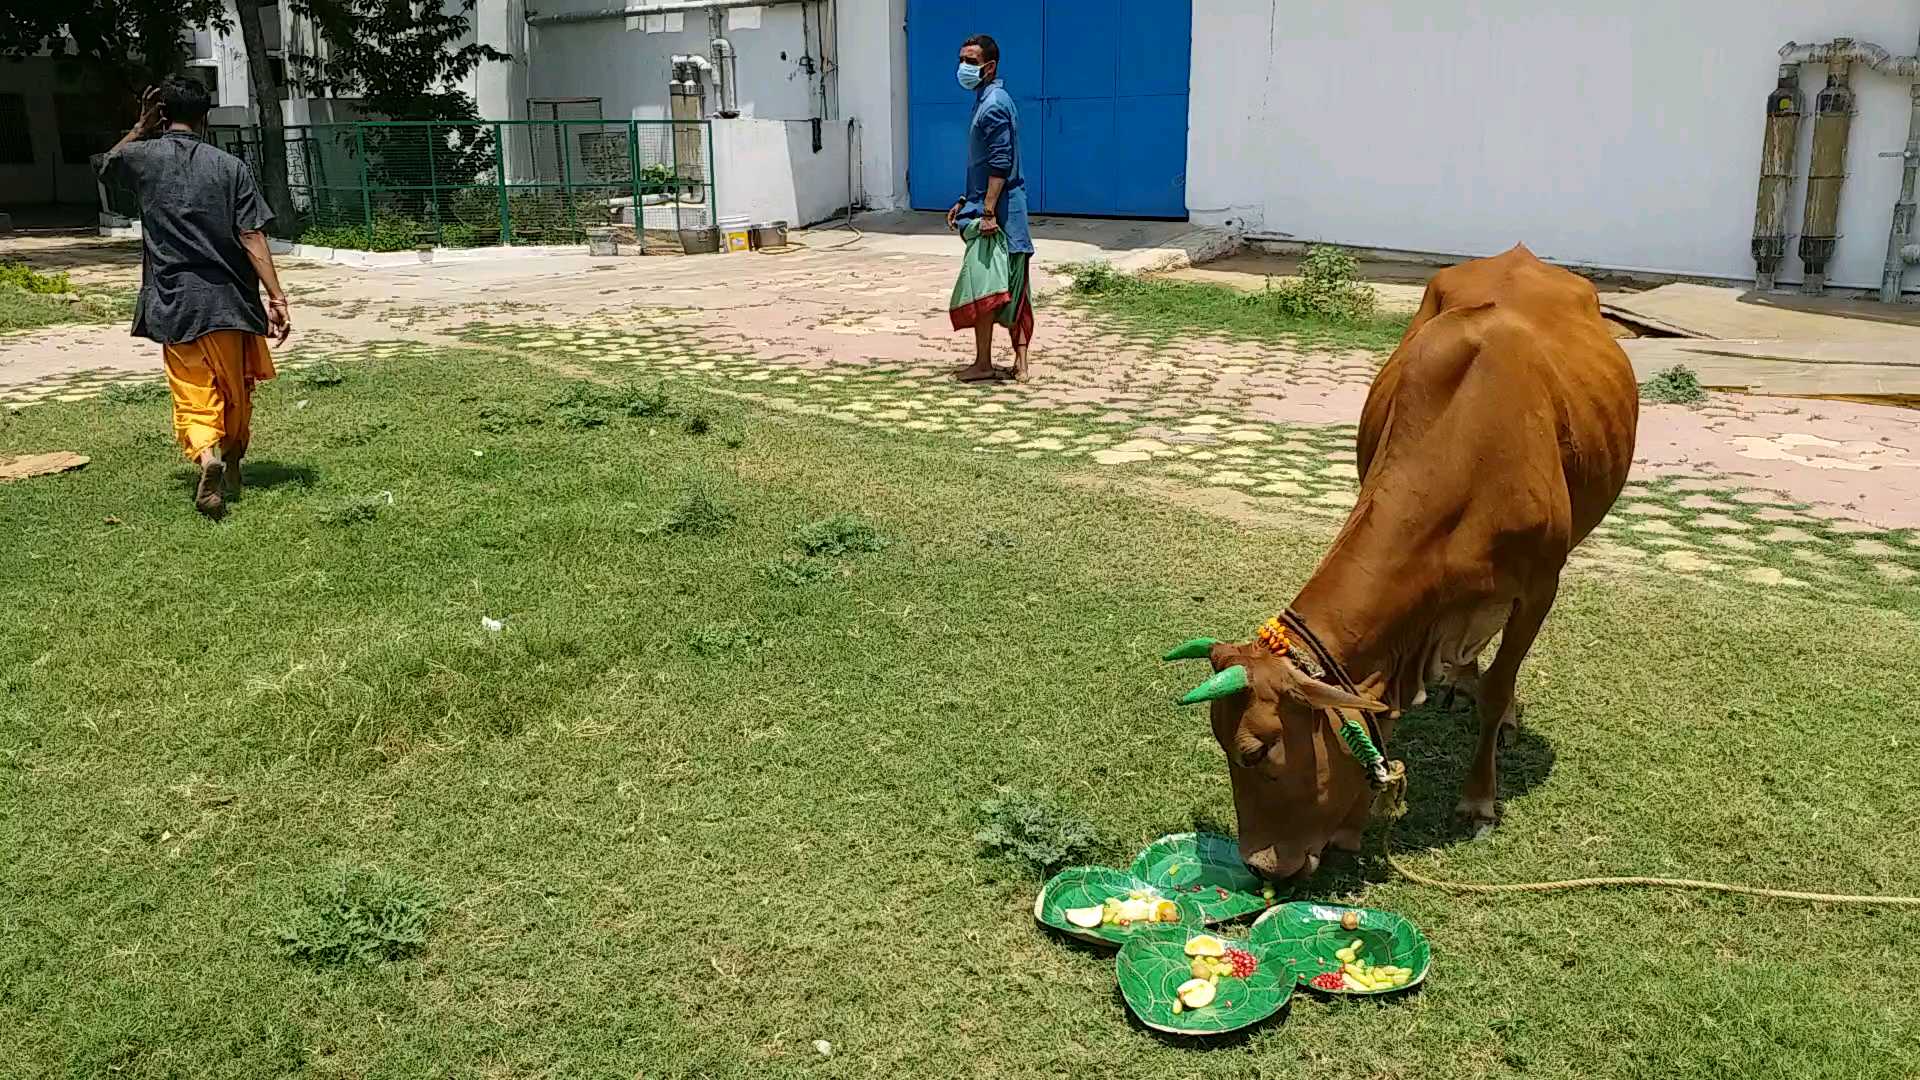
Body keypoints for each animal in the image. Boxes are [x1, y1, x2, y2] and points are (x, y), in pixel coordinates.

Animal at [1159, 244, 1643, 876]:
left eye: (1256, 752)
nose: (1259, 866)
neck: (1470, 454)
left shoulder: (1541, 585)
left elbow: (1498, 687)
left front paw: (1479, 800)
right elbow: (1377, 713)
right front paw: (1356, 822)